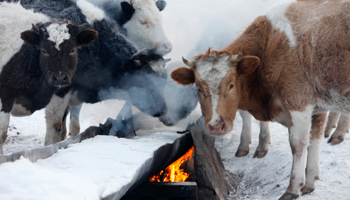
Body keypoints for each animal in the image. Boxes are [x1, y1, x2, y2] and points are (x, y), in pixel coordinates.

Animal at [170, 0, 350, 199]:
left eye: (231, 85)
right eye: (199, 89)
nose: (216, 126)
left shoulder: (297, 101)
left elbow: (298, 144)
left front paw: (292, 188)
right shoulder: (317, 106)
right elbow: (314, 139)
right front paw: (310, 182)